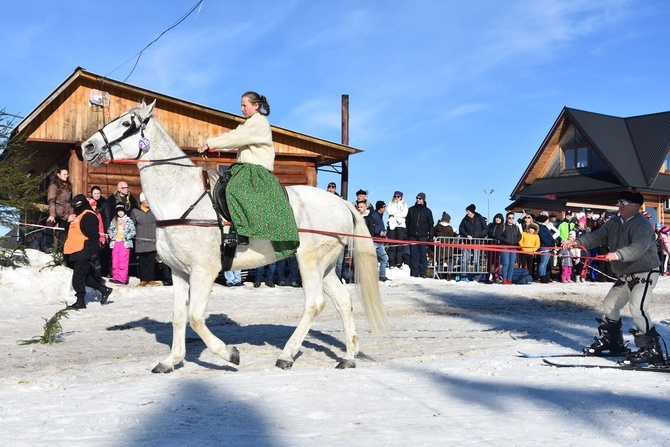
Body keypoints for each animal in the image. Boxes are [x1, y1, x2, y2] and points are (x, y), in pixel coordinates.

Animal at [79, 102, 388, 374]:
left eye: (126, 124)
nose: (87, 147)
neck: (182, 199)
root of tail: (342, 203)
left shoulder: (204, 271)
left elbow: (195, 318)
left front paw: (229, 353)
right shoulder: (179, 272)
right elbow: (179, 317)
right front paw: (171, 361)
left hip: (309, 262)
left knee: (314, 303)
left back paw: (287, 355)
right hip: (325, 266)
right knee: (343, 302)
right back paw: (348, 356)